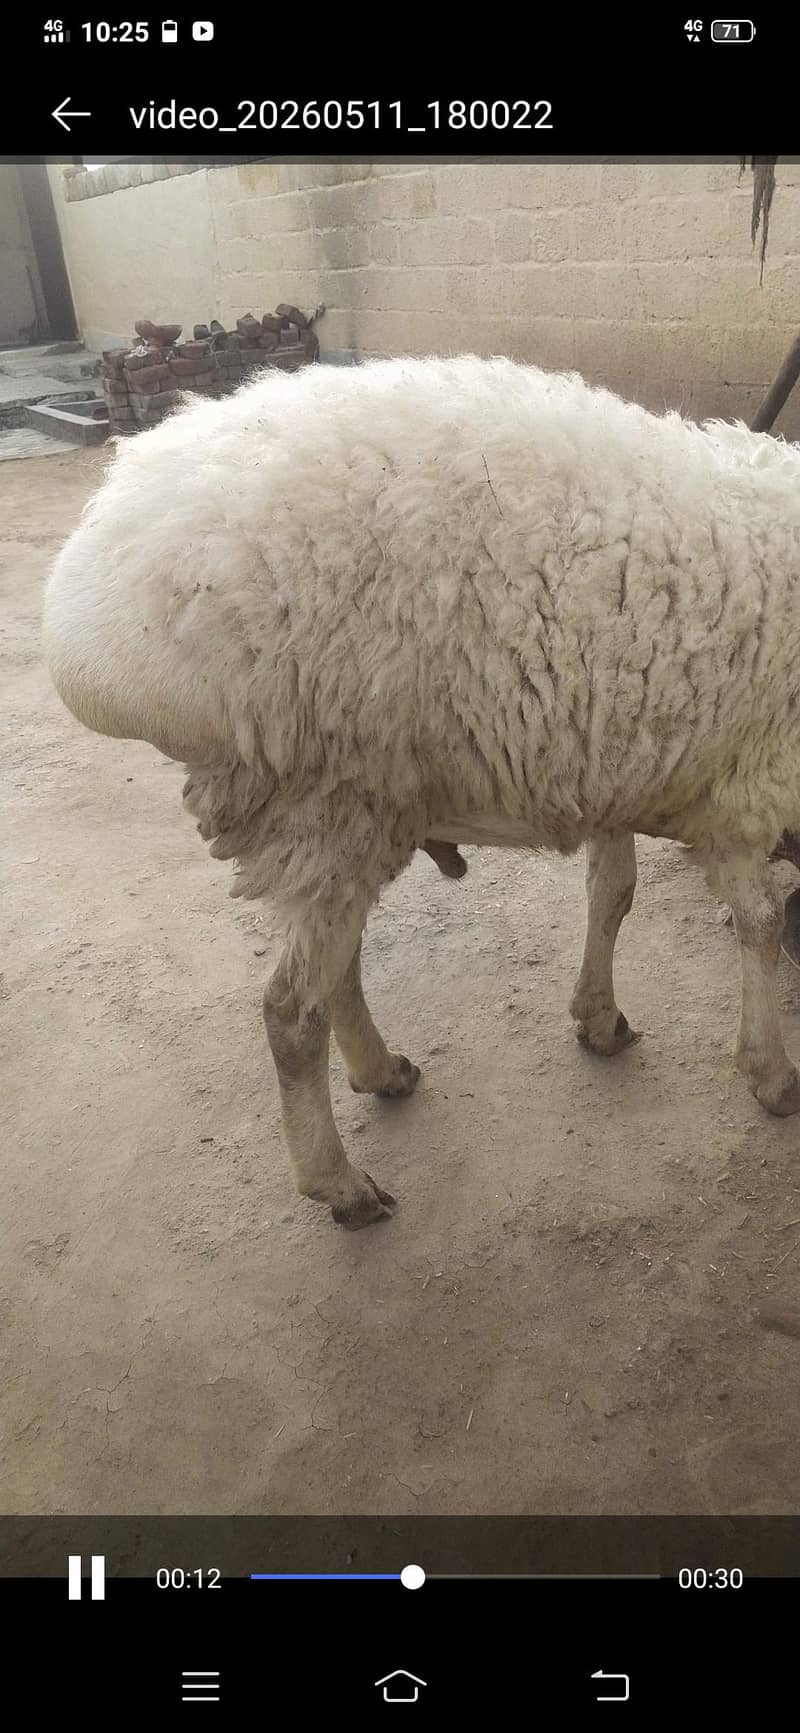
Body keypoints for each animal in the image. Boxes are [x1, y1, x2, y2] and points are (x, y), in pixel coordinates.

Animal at [42, 355, 800, 1228]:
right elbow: (759, 923)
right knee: (290, 1011)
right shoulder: (746, 787)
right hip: (322, 794)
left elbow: (613, 893)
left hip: (349, 810)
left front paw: (598, 1015)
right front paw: (771, 1071)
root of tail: (91, 599)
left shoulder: (616, 759)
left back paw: (379, 1069)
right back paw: (339, 1181)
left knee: (335, 970)